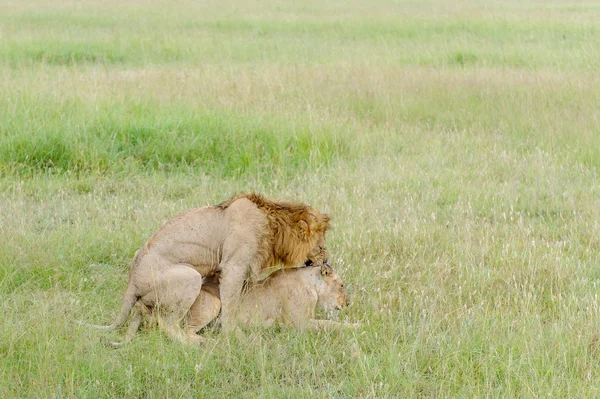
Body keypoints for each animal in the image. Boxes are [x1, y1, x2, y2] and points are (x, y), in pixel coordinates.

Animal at [85, 193, 328, 344]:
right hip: (190, 276)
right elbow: (230, 306)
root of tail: (131, 282)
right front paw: (237, 336)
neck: (273, 224)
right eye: (321, 245)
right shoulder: (233, 266)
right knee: (169, 324)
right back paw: (199, 342)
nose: (326, 261)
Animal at [105, 266, 352, 346]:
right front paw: (357, 328)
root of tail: (146, 304)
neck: (310, 284)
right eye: (341, 285)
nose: (348, 303)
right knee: (175, 327)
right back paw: (205, 342)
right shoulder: (299, 324)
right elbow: (330, 325)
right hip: (212, 302)